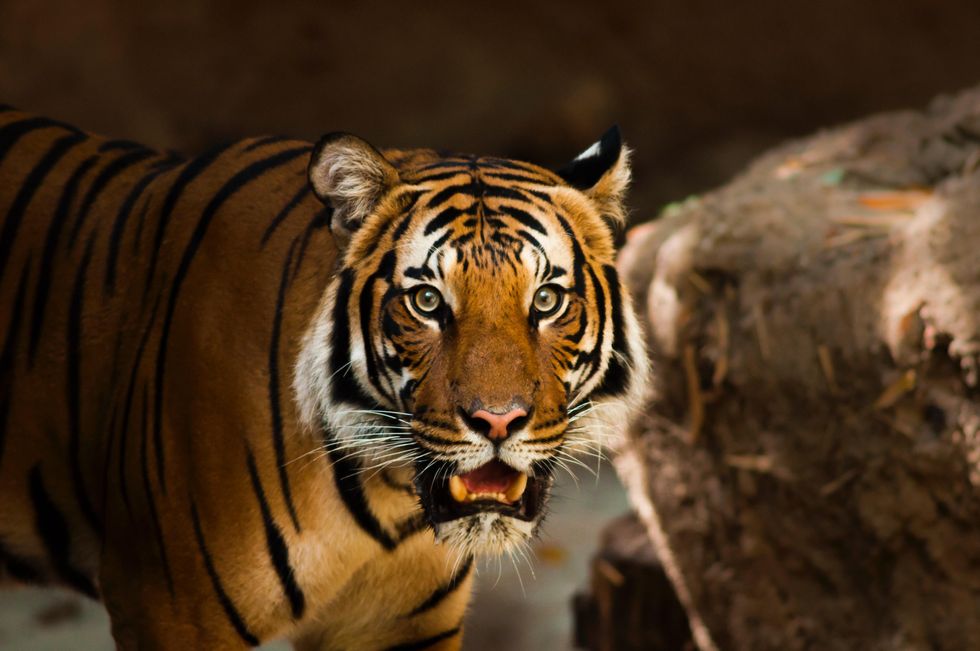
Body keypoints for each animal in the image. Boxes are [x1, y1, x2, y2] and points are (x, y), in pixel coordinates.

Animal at [0, 104, 652, 648]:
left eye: (545, 300)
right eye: (427, 301)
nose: (498, 421)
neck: (386, 499)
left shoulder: (401, 626)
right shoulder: (170, 609)